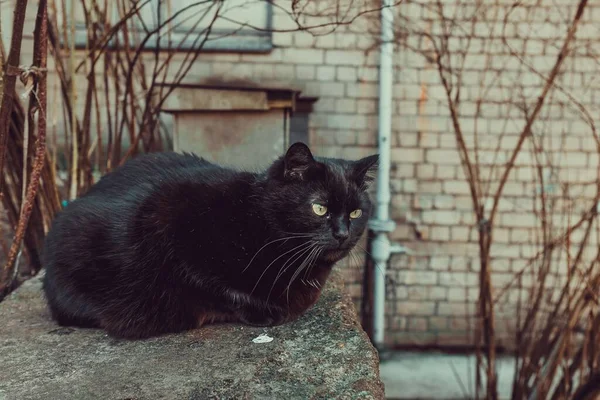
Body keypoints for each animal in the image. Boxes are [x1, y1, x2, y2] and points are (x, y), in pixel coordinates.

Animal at [42, 142, 378, 340]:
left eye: (356, 211)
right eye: (319, 208)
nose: (342, 233)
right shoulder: (167, 218)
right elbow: (217, 287)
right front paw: (262, 311)